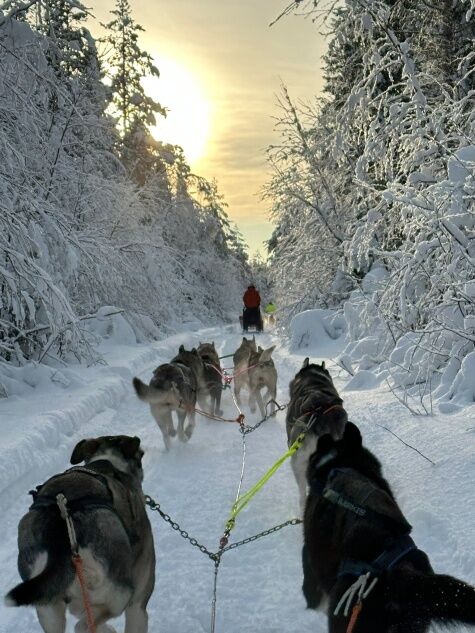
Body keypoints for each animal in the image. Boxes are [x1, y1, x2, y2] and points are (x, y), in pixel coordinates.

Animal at [5, 436, 154, 632]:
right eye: (141, 455)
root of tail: (61, 519)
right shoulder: (137, 605)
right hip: (119, 595)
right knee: (83, 624)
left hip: (48, 607)